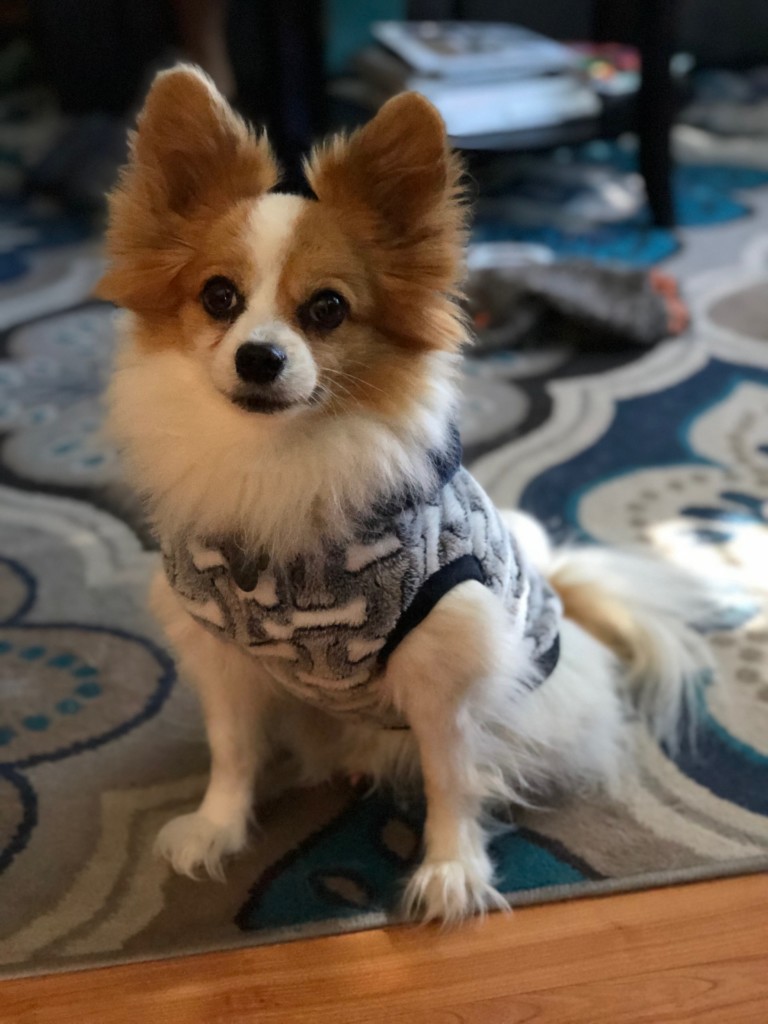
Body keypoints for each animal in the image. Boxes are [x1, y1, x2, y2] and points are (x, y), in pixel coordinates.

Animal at [99, 66, 717, 922]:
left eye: (327, 308)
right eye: (218, 297)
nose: (259, 357)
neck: (278, 464)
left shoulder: (445, 658)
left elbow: (449, 772)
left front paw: (452, 869)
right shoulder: (221, 654)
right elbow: (232, 750)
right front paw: (217, 828)